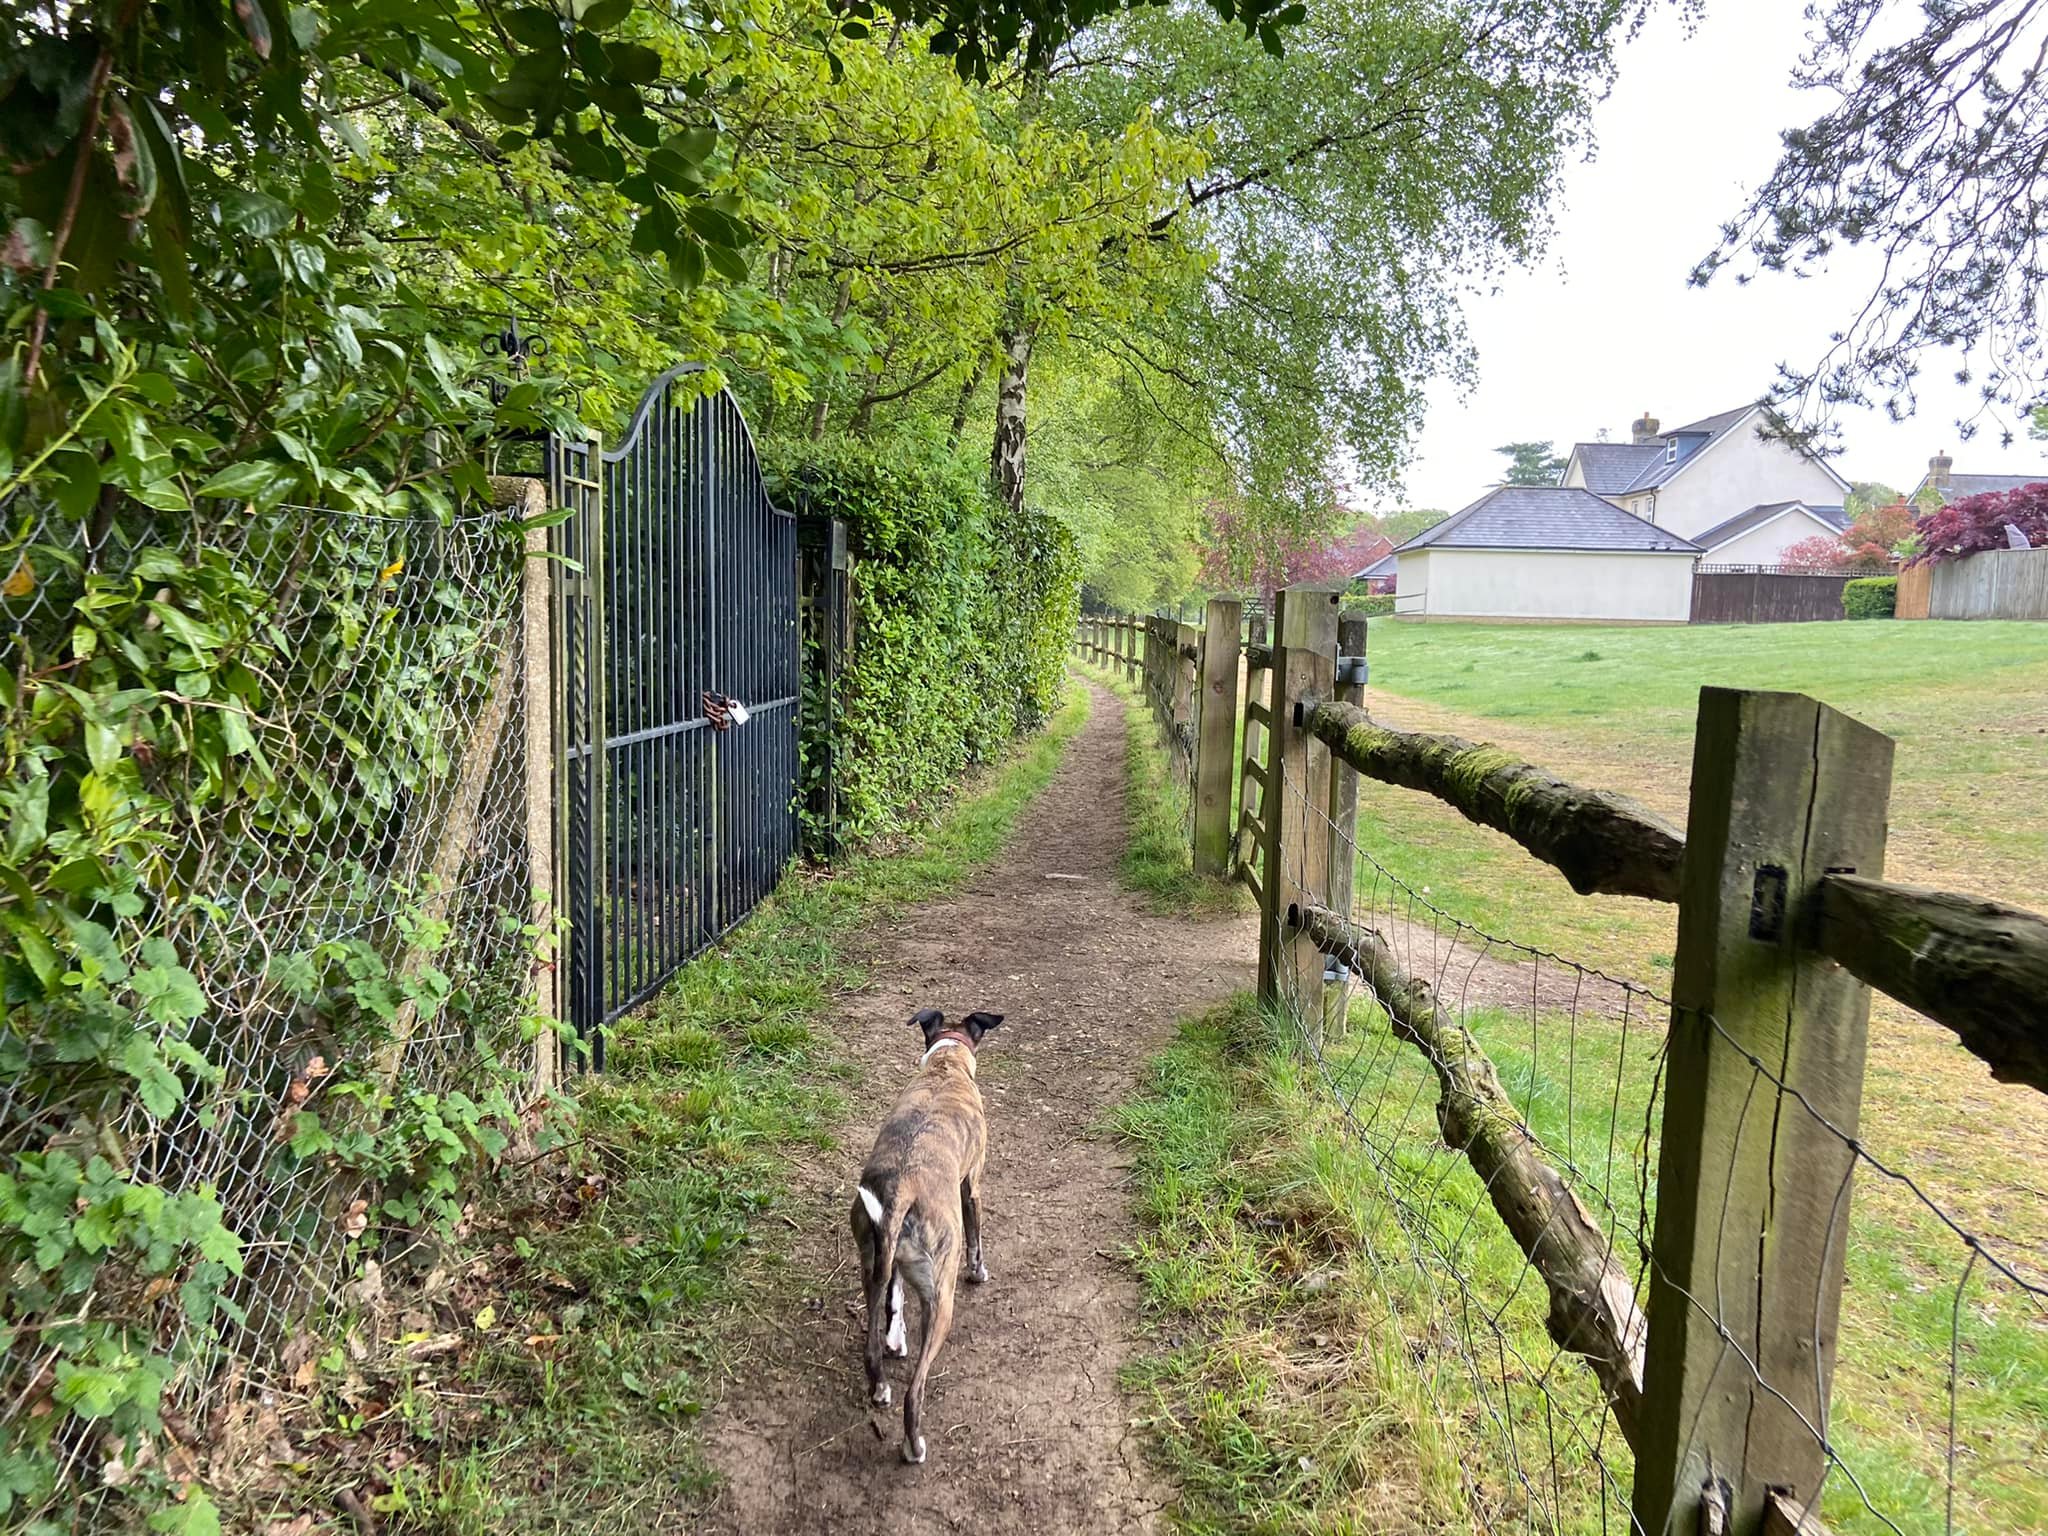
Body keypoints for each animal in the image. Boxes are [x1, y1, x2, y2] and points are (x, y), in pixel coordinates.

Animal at [850, 1007, 1003, 1464]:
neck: (944, 1068)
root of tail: (903, 1188)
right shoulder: (972, 1186)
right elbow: (977, 1238)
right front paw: (979, 1272)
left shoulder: (891, 1264)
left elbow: (894, 1299)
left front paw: (895, 1335)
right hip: (941, 1299)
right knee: (913, 1394)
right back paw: (913, 1445)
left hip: (872, 1259)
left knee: (872, 1345)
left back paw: (881, 1382)